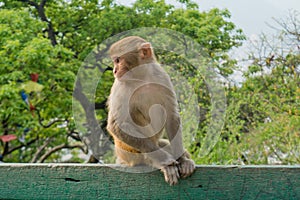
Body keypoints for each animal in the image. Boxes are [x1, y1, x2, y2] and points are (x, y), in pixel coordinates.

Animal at [106, 36, 196, 186]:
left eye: (118, 60)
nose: (114, 71)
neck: (142, 77)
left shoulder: (162, 76)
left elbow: (171, 116)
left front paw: (183, 161)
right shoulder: (120, 85)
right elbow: (116, 125)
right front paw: (166, 162)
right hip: (128, 153)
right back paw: (152, 160)